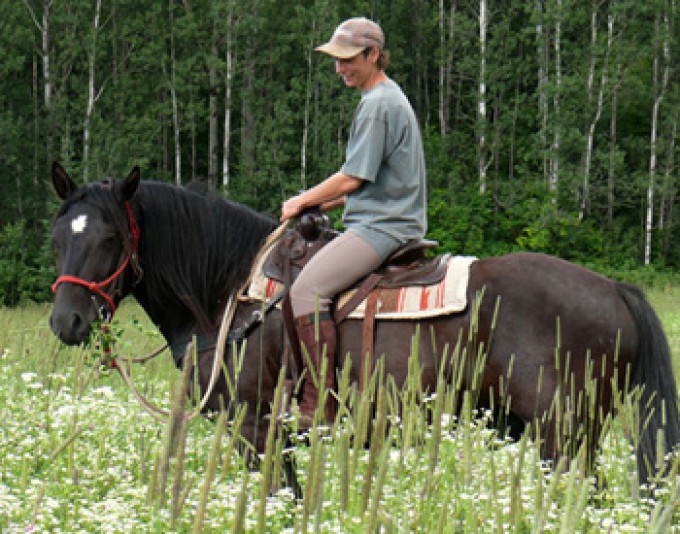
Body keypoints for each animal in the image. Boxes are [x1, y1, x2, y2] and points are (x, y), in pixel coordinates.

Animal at [49, 164, 680, 490]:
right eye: (58, 234)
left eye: (111, 238)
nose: (66, 321)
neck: (232, 297)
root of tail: (614, 288)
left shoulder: (255, 430)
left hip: (563, 438)